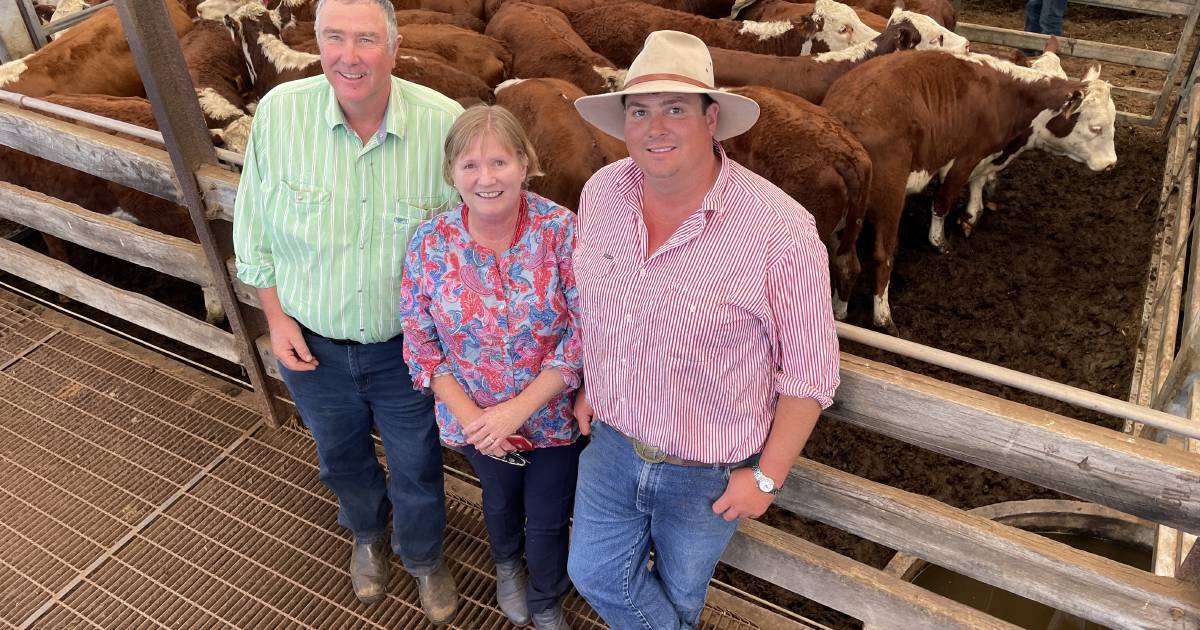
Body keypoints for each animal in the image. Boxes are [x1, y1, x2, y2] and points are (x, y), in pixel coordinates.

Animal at [825, 51, 1113, 331]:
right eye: (1096, 127)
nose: (1111, 163)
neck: (1008, 96)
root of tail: (844, 118)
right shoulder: (965, 158)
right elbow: (944, 201)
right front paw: (940, 241)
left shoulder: (984, 157)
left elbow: (978, 183)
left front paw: (971, 216)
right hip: (890, 199)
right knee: (882, 255)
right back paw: (884, 318)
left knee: (844, 260)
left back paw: (840, 309)